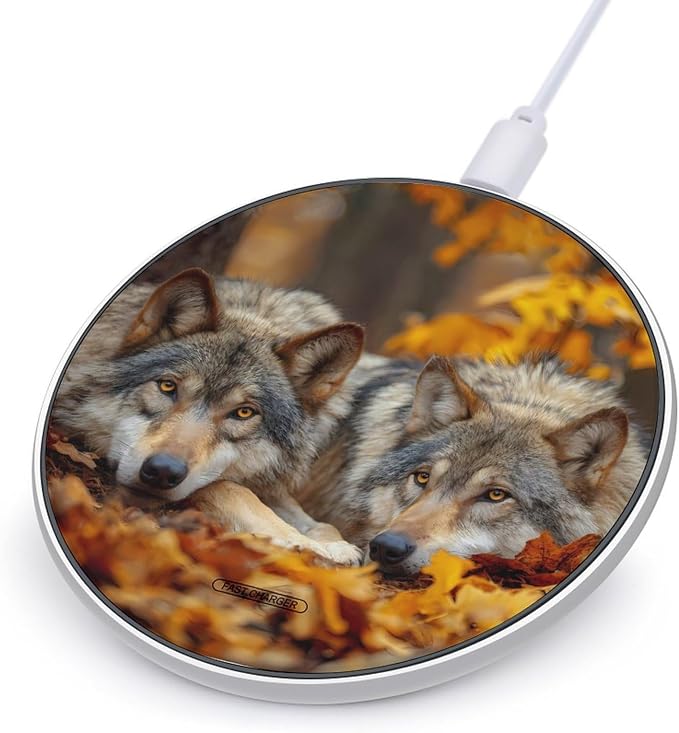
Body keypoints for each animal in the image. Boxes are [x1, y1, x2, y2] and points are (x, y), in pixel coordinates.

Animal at [52, 267, 366, 563]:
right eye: (168, 386)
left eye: (243, 412)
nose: (163, 471)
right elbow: (229, 488)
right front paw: (306, 544)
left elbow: (319, 521)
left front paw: (333, 544)